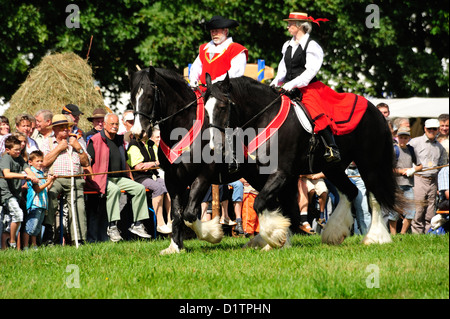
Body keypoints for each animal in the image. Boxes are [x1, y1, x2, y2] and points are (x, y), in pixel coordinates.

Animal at [205, 75, 400, 248]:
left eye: (222, 106)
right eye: (205, 110)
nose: (215, 146)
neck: (266, 117)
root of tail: (376, 111)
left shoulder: (282, 174)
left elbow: (262, 202)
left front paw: (274, 237)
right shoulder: (271, 176)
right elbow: (282, 207)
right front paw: (276, 238)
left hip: (370, 164)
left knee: (374, 197)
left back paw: (375, 237)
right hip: (333, 169)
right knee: (350, 191)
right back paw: (334, 232)